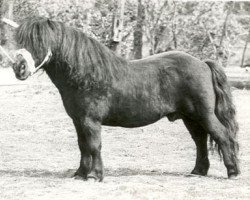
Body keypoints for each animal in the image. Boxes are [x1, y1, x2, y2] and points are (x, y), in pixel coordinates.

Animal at [12, 16, 239, 180]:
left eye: (40, 42)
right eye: (20, 41)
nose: (18, 68)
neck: (85, 74)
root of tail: (203, 63)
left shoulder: (90, 121)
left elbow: (93, 145)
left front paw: (95, 175)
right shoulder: (78, 120)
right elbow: (83, 146)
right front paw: (80, 174)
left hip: (204, 114)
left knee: (222, 136)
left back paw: (233, 172)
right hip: (190, 117)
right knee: (200, 140)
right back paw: (198, 171)